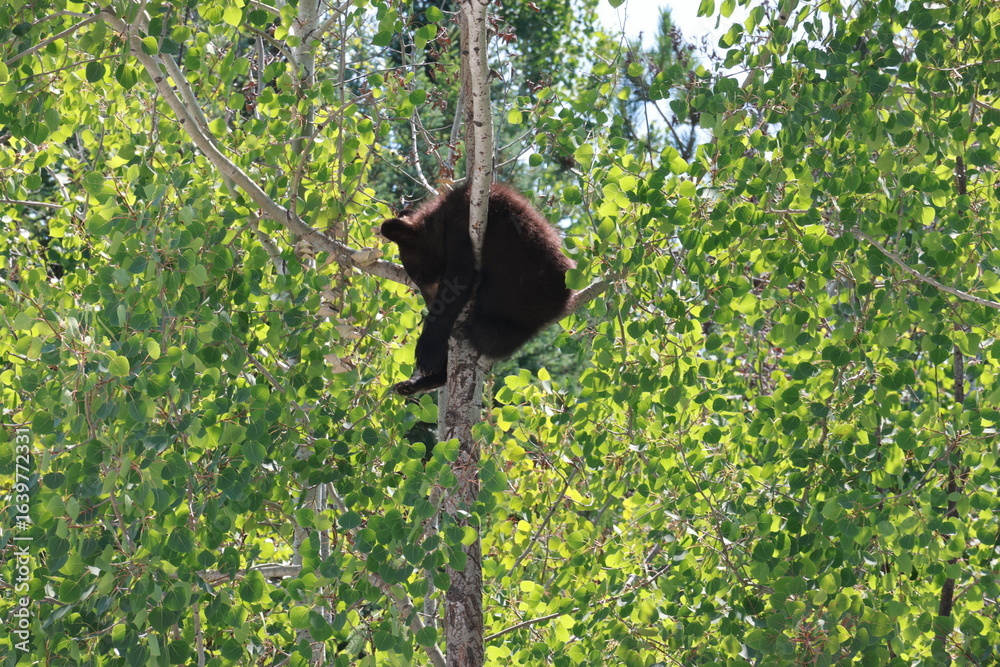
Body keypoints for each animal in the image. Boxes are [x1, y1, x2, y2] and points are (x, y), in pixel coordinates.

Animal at [380, 183, 575, 395]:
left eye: (420, 278)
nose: (428, 303)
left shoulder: (462, 226)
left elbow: (458, 280)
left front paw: (427, 351)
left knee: (486, 336)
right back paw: (415, 384)